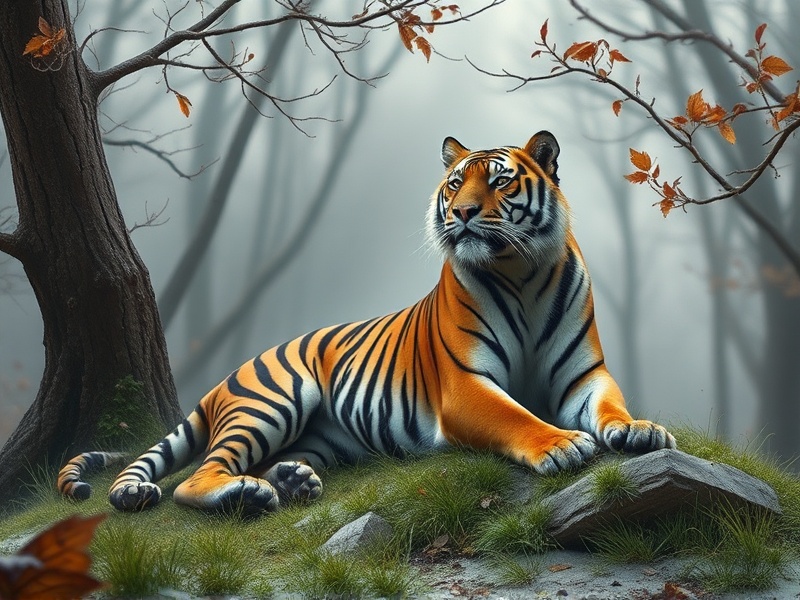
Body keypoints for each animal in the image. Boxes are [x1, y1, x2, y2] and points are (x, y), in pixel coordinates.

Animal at [58, 131, 676, 514]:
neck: (519, 270)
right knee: (193, 479)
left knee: (267, 463)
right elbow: (515, 416)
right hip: (275, 399)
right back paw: (249, 496)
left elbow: (610, 405)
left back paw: (293, 480)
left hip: (319, 436)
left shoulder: (582, 375)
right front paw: (560, 445)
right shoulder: (464, 387)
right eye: (456, 183)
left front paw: (641, 429)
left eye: (500, 182)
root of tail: (225, 380)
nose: (462, 214)